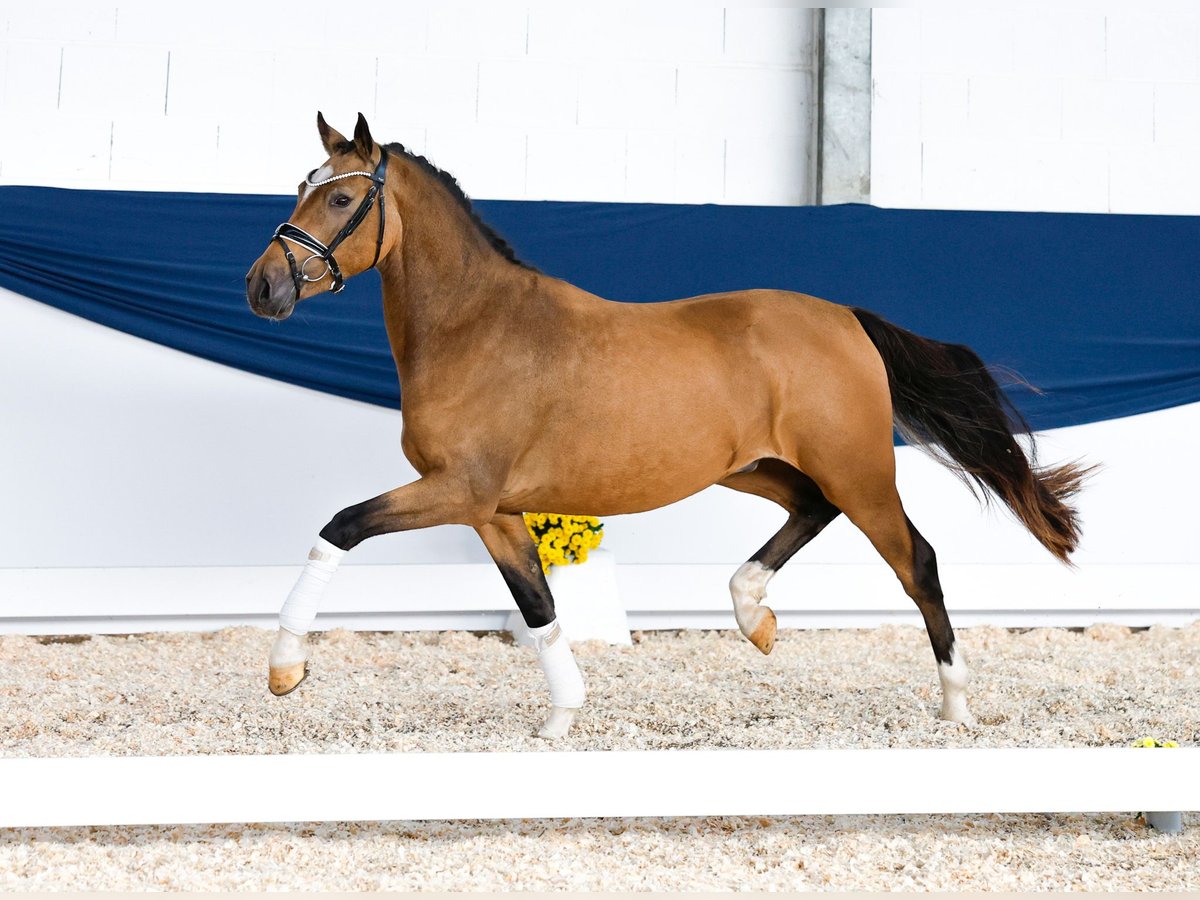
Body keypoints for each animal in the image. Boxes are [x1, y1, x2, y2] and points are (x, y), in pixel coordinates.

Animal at [243, 114, 1089, 739]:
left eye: (342, 202)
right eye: (301, 188)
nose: (262, 286)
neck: (475, 328)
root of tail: (848, 318)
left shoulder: (457, 490)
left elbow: (339, 528)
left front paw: (285, 669)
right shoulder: (495, 510)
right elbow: (539, 607)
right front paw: (562, 718)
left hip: (858, 471)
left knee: (917, 561)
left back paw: (954, 704)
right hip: (755, 468)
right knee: (813, 511)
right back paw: (755, 617)